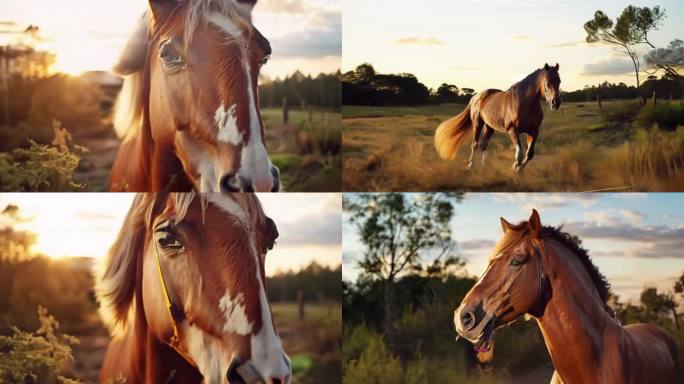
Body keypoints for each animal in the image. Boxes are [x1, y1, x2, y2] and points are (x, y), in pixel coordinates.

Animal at [436, 63, 564, 172]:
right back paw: (471, 165)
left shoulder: (533, 131)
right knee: (475, 144)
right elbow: (519, 153)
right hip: (477, 124)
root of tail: (476, 97)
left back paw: (484, 166)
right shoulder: (512, 130)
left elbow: (529, 154)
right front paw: (515, 167)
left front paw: (519, 169)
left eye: (559, 81)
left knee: (483, 144)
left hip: (489, 127)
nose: (556, 103)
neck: (524, 102)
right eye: (547, 83)